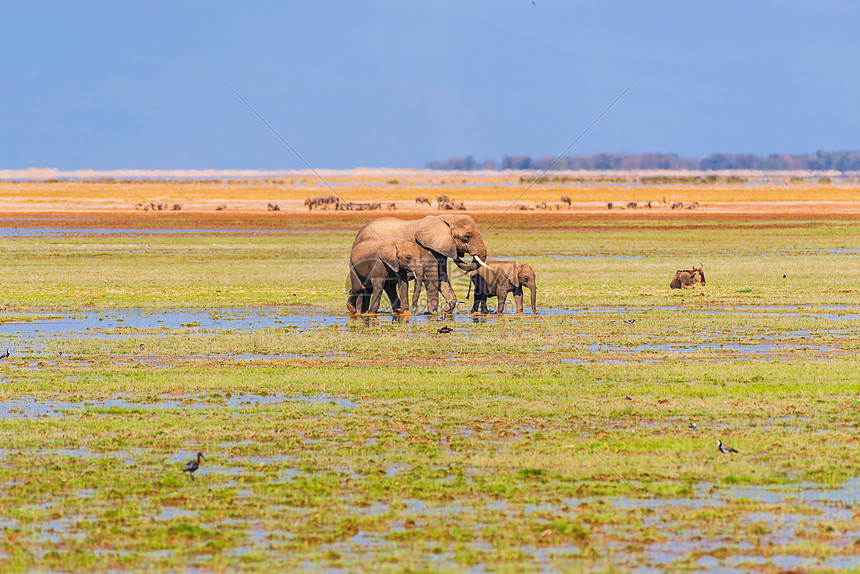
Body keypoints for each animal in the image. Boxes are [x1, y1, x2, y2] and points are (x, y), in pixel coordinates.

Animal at [352, 216, 490, 316]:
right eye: (467, 236)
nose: (458, 252)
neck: (445, 218)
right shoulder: (427, 249)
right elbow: (432, 278)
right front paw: (432, 313)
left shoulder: (438, 249)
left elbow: (442, 278)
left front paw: (445, 312)